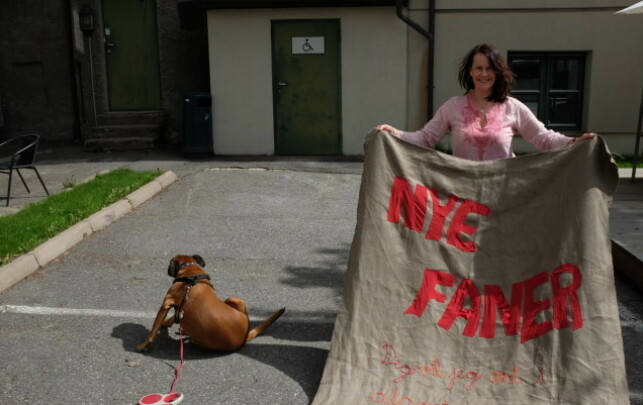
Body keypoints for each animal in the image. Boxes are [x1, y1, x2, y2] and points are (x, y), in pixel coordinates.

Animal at [137, 252, 286, 350]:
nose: (167, 269)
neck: (190, 270)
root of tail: (244, 339)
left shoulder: (166, 302)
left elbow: (153, 330)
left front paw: (143, 345)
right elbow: (176, 315)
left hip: (199, 338)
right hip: (235, 299)